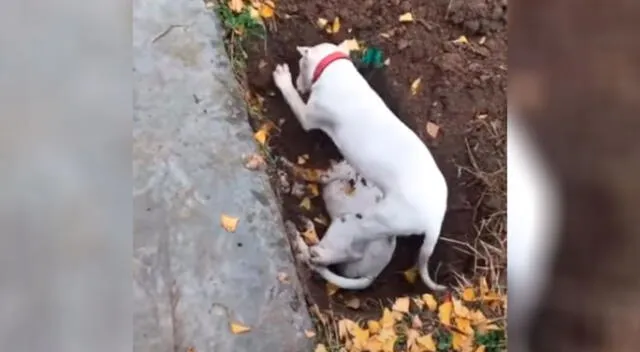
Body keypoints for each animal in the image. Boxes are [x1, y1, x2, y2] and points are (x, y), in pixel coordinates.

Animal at [282, 158, 392, 290]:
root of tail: (373, 274)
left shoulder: (329, 174)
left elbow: (305, 171)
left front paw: (286, 165)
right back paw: (304, 228)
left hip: (345, 225)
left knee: (328, 256)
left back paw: (297, 236)